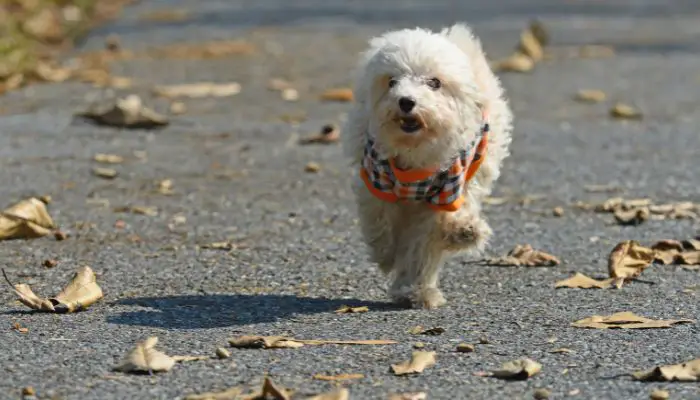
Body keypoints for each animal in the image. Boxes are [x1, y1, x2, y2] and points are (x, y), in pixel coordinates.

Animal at [344, 22, 516, 310]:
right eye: (392, 82)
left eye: (434, 82)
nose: (406, 101)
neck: (415, 151)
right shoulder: (375, 177)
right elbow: (380, 222)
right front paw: (386, 255)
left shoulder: (445, 191)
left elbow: (423, 244)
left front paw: (417, 288)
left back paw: (462, 234)